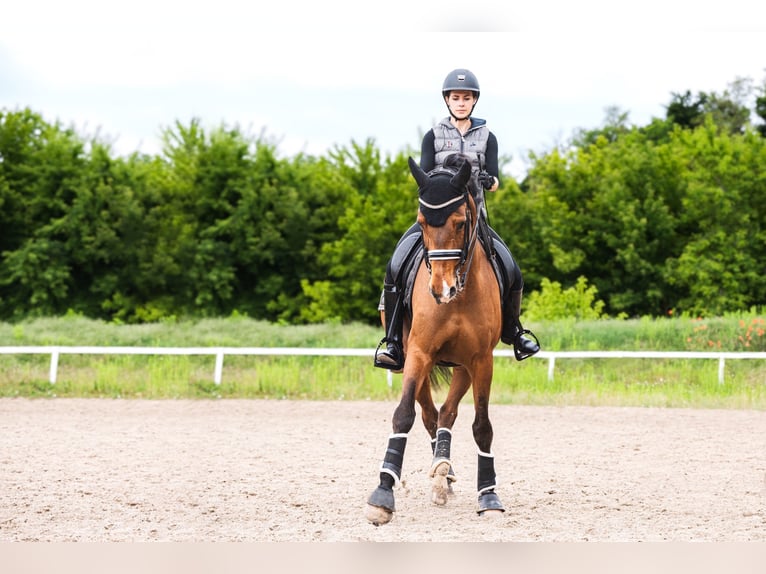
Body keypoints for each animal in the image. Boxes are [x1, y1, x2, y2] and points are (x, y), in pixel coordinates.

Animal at [368, 156, 510, 528]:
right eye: (421, 223)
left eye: (460, 223)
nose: (440, 290)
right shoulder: (419, 353)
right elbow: (403, 415)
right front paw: (382, 494)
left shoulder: (481, 361)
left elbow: (482, 426)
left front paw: (488, 495)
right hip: (414, 358)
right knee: (431, 415)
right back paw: (440, 474)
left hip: (463, 367)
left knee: (447, 413)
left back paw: (443, 471)